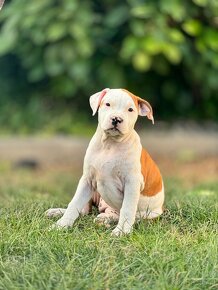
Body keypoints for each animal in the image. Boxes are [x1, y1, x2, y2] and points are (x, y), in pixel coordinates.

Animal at [46, 88, 165, 236]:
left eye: (130, 109)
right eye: (108, 104)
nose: (116, 119)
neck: (109, 144)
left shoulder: (132, 183)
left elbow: (127, 208)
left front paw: (121, 231)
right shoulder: (87, 180)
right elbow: (74, 204)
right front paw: (60, 226)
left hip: (147, 214)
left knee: (124, 215)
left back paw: (105, 219)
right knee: (84, 211)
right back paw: (57, 212)